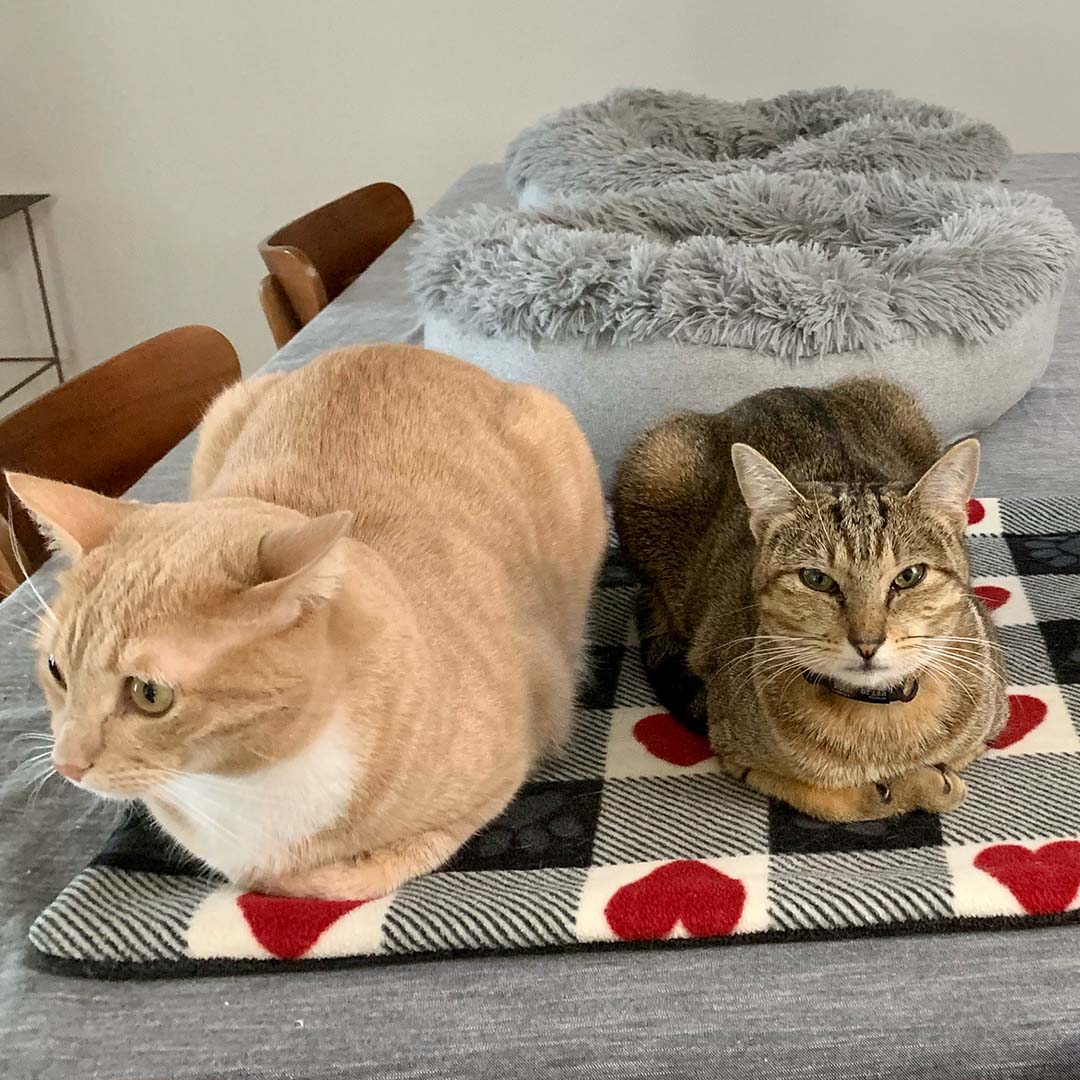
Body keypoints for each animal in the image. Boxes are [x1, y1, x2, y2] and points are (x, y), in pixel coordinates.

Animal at [12, 343, 609, 894]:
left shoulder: (505, 766)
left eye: (150, 695)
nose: (66, 764)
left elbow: (343, 876)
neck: (251, 782)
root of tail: (397, 348)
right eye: (56, 670)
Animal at [613, 378, 1006, 816]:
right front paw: (912, 787)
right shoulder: (733, 745)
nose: (867, 643)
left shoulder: (991, 717)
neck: (877, 719)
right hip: (657, 461)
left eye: (909, 576)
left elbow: (957, 754)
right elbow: (834, 798)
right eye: (816, 579)